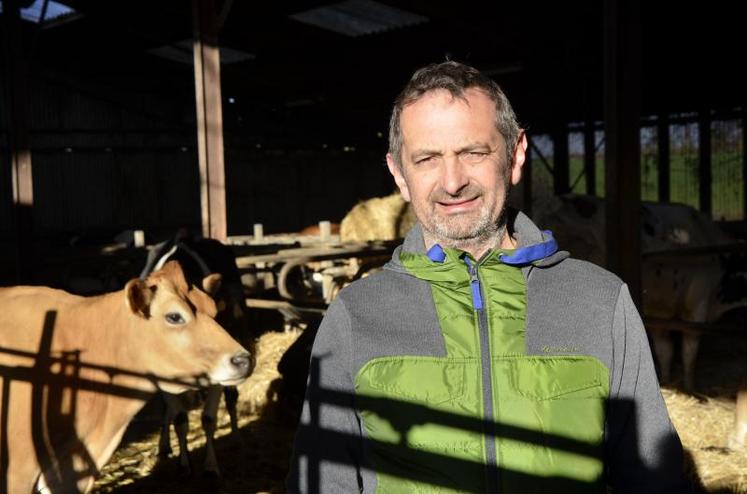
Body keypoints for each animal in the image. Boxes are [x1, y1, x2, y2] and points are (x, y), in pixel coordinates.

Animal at [140, 232, 258, 478]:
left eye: (214, 316)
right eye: (174, 317)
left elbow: (208, 419)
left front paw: (211, 466)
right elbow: (179, 419)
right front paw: (184, 463)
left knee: (232, 400)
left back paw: (236, 438)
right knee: (167, 412)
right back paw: (163, 446)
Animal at [536, 195, 744, 392]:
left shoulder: (659, 312)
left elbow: (664, 350)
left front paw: (666, 381)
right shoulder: (698, 301)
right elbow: (689, 351)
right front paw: (691, 388)